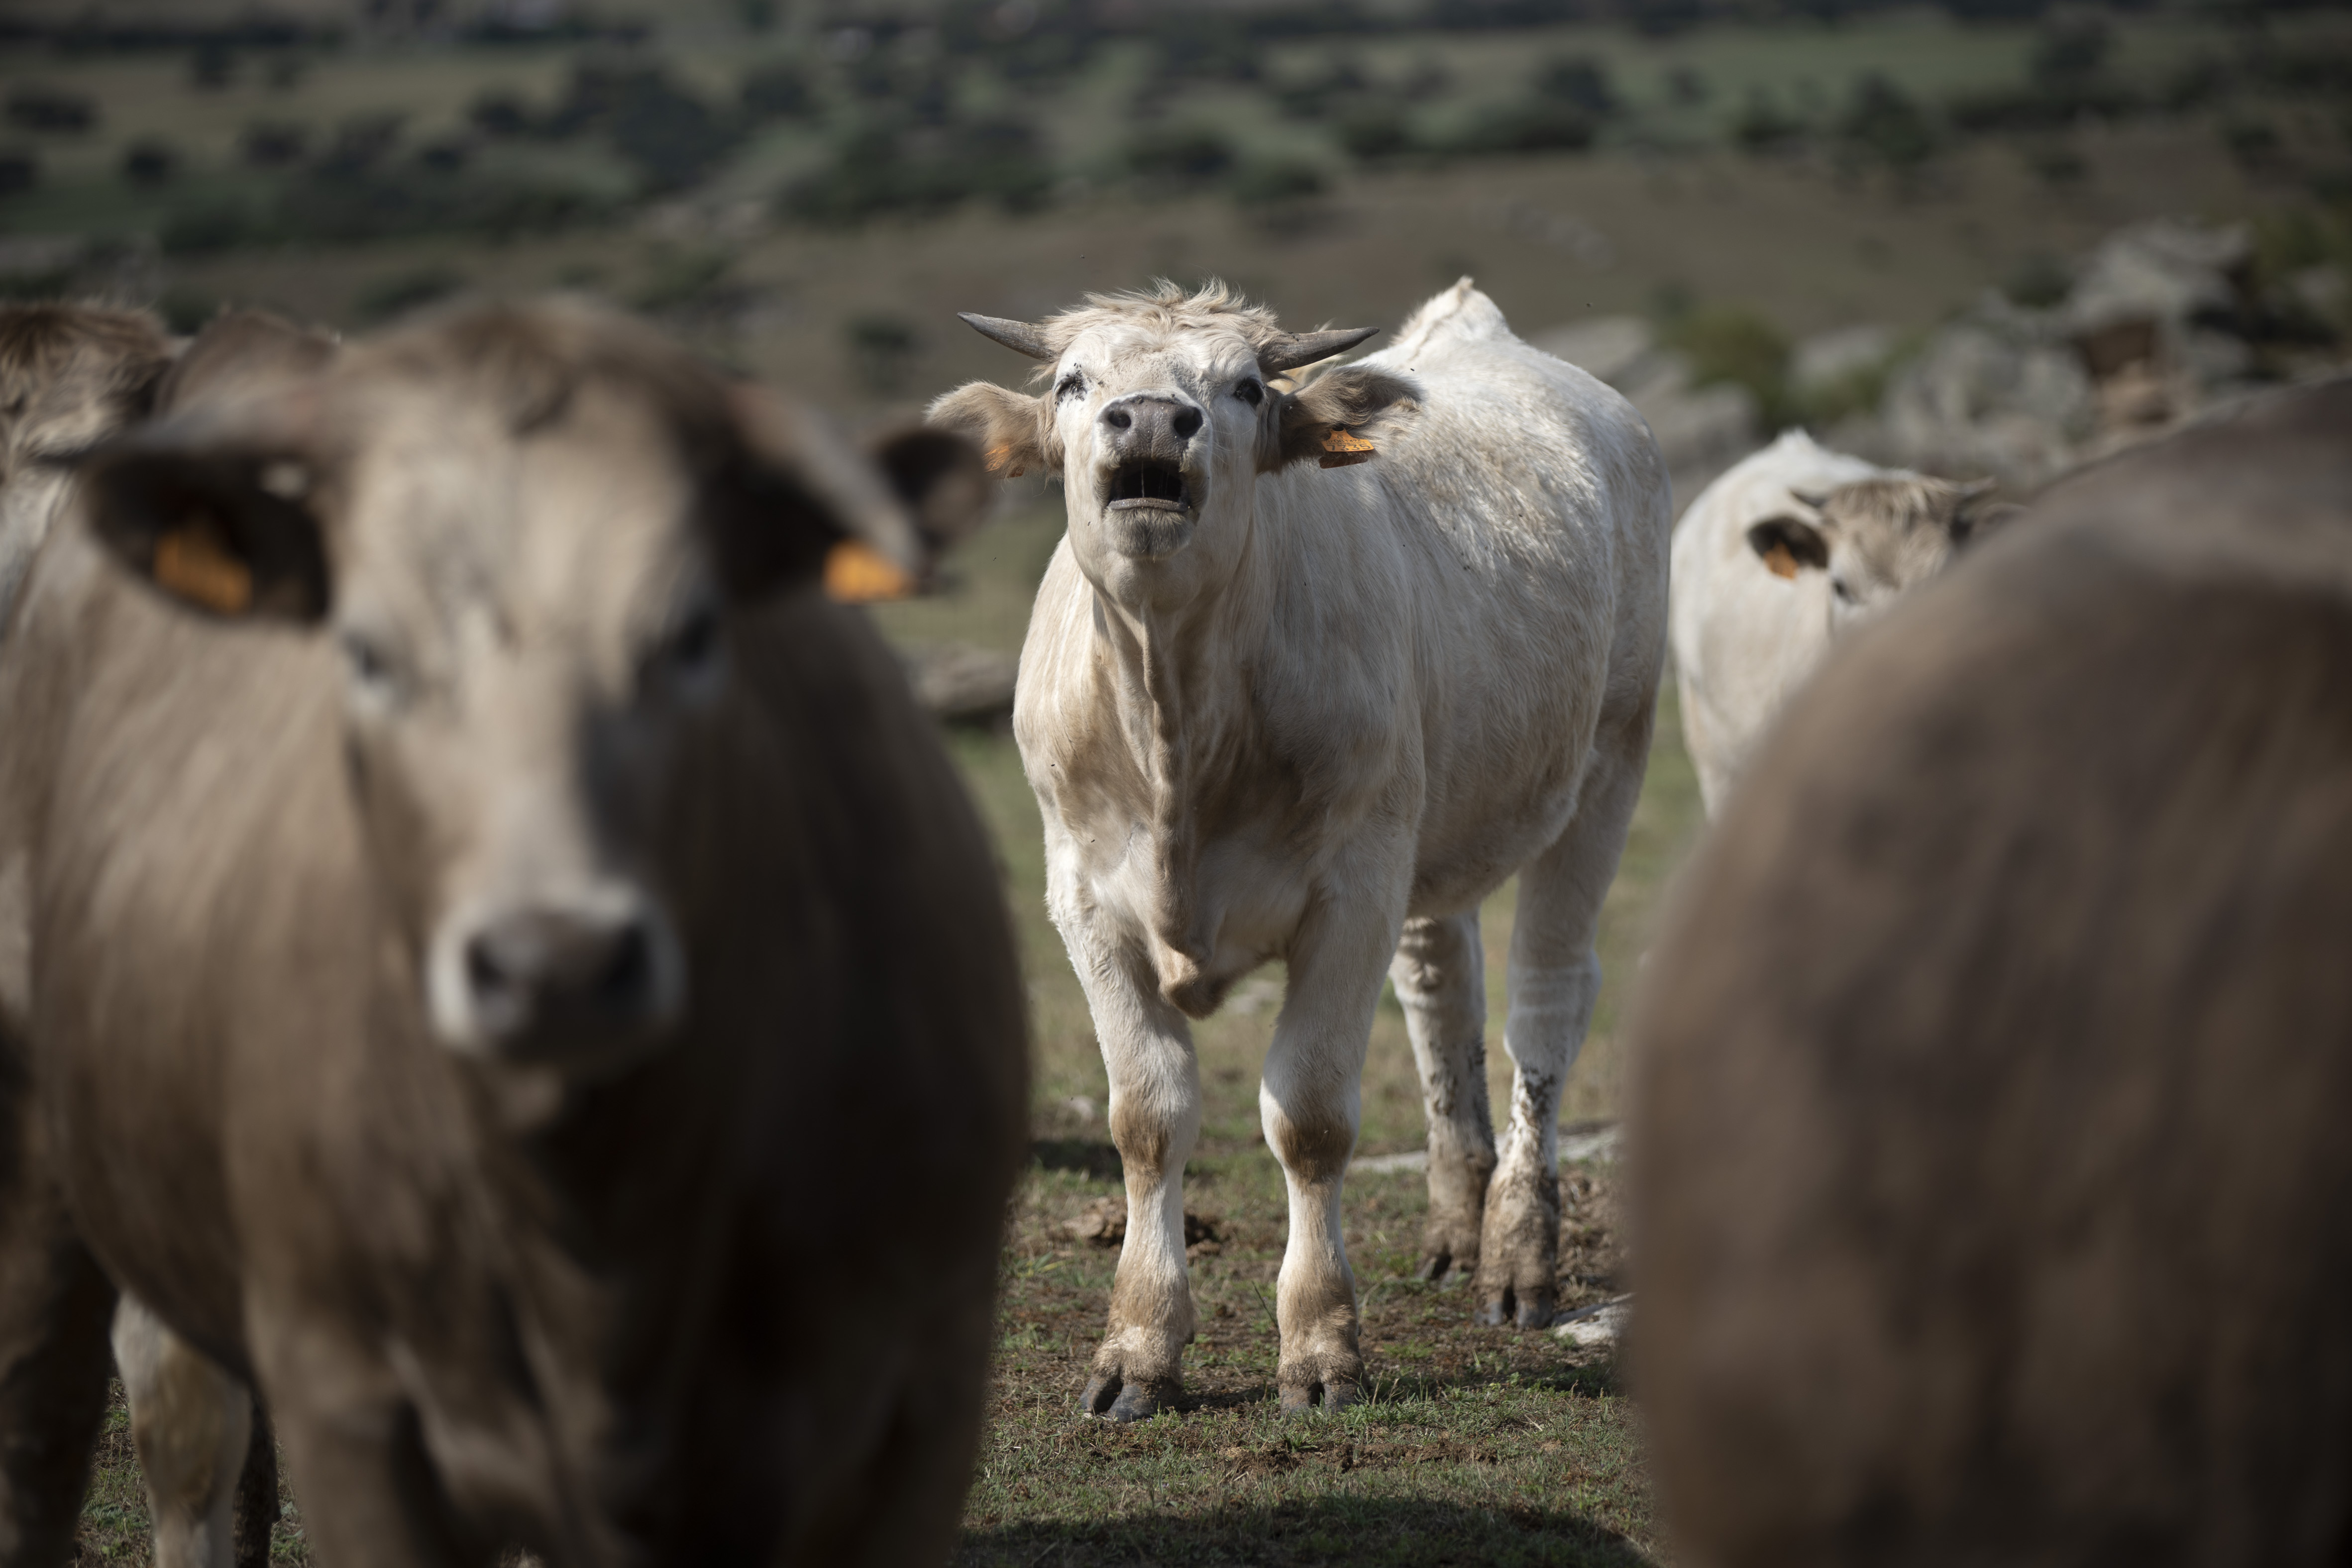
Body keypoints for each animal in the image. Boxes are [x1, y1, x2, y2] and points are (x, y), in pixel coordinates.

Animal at [931, 282, 1674, 1420]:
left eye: (1244, 387)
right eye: (1072, 382)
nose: (1152, 420)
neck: (1175, 715)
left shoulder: (1352, 889)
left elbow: (1311, 1118)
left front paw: (1320, 1344)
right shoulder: (1084, 898)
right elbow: (1147, 1113)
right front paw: (1137, 1346)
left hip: (1607, 766)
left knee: (1545, 998)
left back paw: (1516, 1253)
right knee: (1440, 986)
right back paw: (1453, 1226)